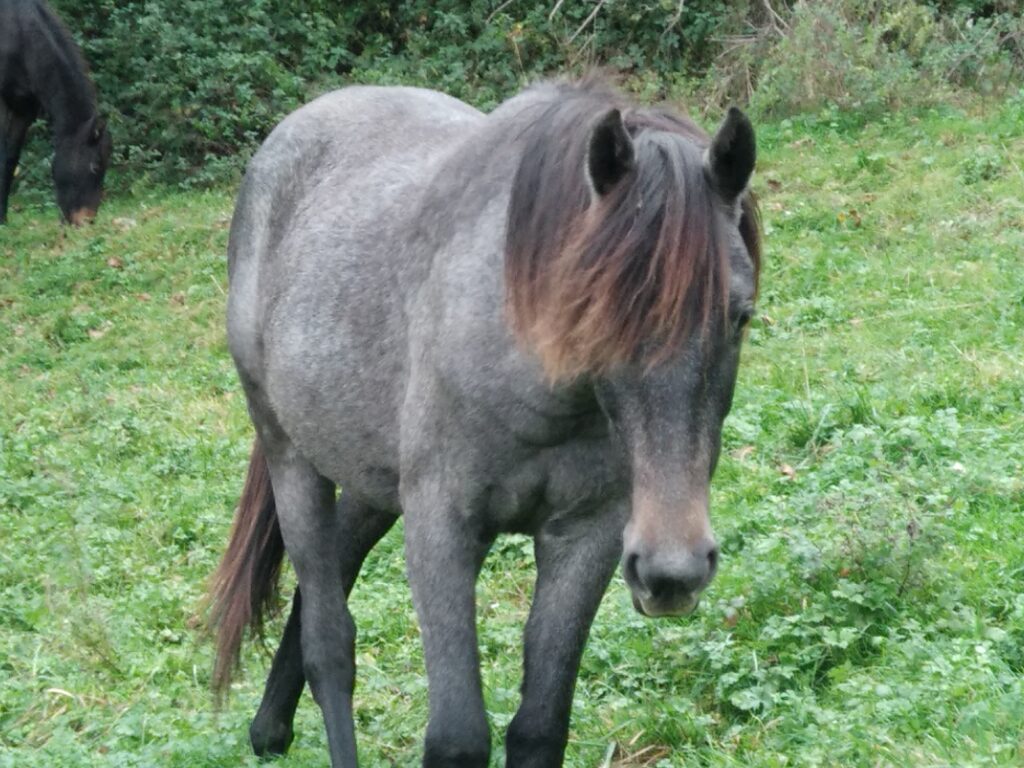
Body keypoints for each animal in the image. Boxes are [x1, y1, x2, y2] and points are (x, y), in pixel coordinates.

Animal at [209, 77, 761, 767]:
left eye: (740, 315)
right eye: (594, 313)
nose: (673, 570)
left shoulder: (589, 535)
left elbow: (539, 727)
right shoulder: (441, 528)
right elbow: (457, 737)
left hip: (370, 481)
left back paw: (268, 729)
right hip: (292, 459)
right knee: (329, 644)